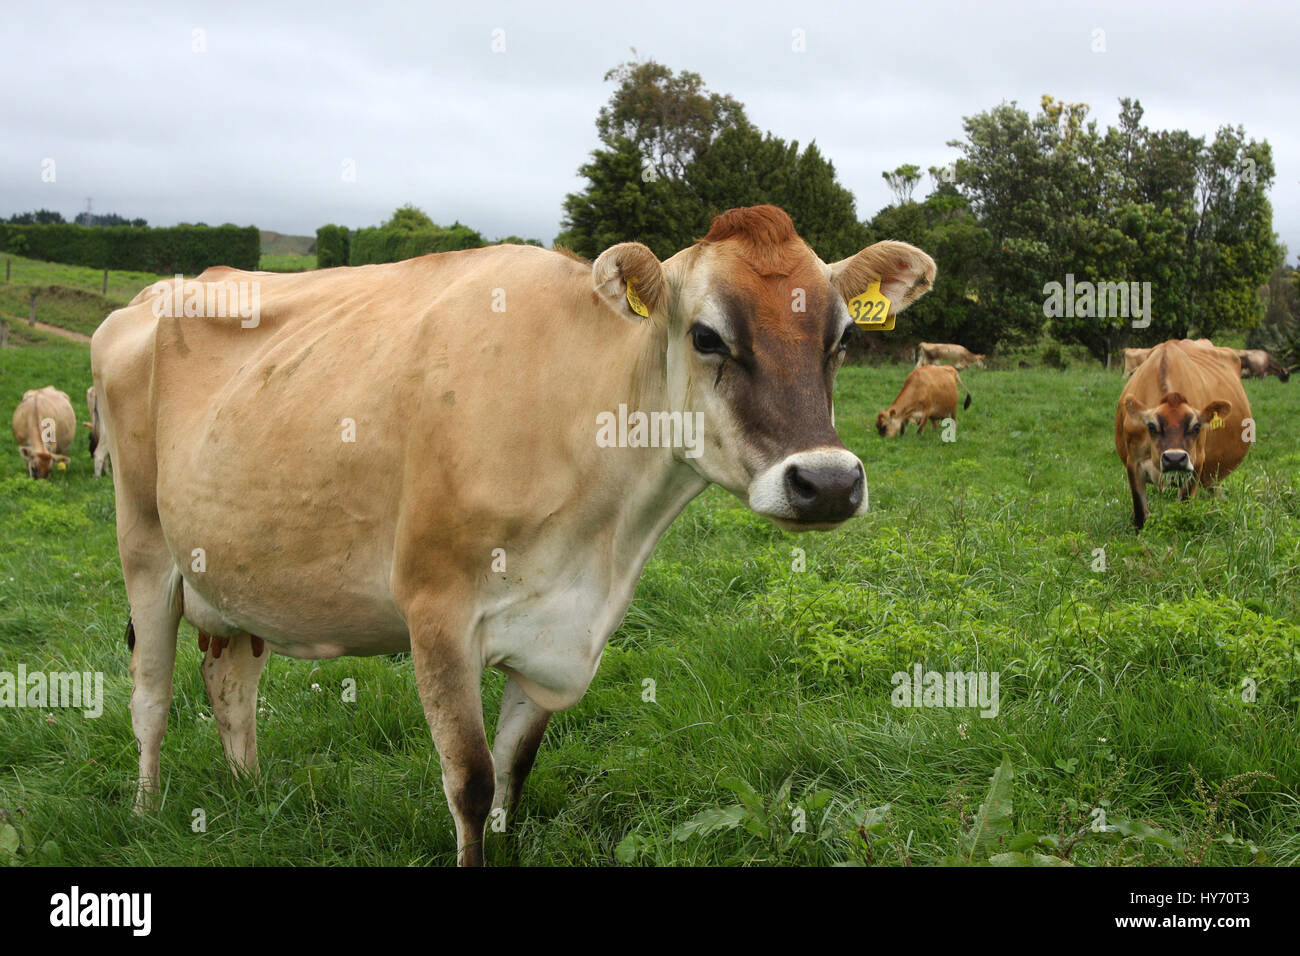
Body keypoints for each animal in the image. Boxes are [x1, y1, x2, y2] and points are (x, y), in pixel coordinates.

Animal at [91, 205, 936, 866]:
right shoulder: (435, 611)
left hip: (229, 568)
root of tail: (157, 292)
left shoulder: (560, 635)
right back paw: (145, 813)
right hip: (143, 544)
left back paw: (251, 795)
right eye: (705, 336)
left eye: (841, 339)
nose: (827, 482)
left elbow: (513, 777)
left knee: (230, 680)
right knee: (151, 694)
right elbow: (471, 783)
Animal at [1115, 339, 1250, 530]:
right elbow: (1140, 513)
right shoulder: (1133, 462)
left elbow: (1184, 507)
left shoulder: (1197, 463)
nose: (1174, 458)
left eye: (1196, 427)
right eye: (1151, 426)